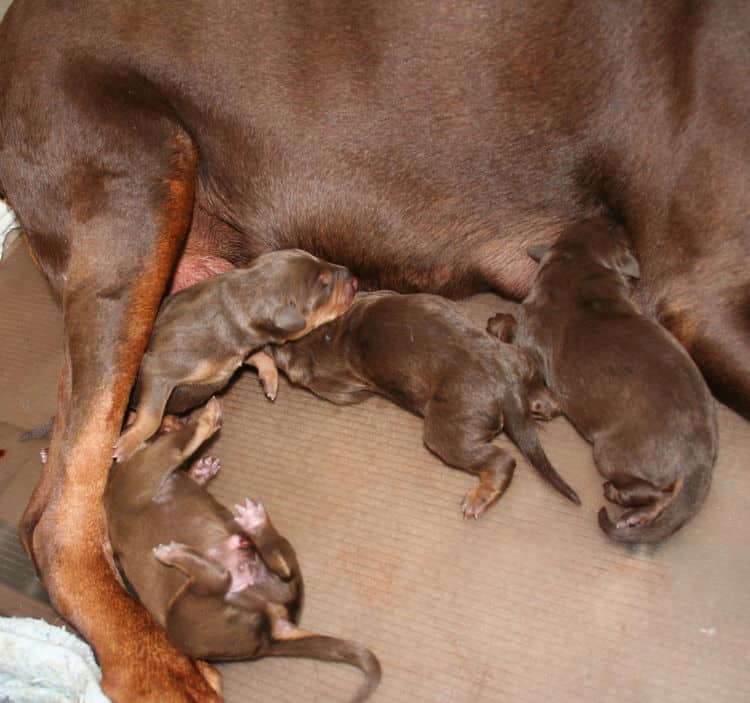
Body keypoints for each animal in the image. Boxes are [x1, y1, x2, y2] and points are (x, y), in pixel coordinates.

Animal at [104, 398, 382, 700]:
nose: (187, 414)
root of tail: (269, 639)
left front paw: (202, 469)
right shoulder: (145, 469)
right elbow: (175, 444)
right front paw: (203, 424)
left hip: (272, 579)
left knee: (281, 568)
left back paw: (255, 525)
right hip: (182, 618)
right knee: (220, 578)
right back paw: (180, 552)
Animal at [114, 250, 358, 464]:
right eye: (324, 283)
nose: (355, 279)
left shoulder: (238, 353)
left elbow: (261, 357)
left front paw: (270, 381)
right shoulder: (159, 366)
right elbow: (151, 416)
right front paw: (127, 444)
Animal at [253, 290, 580, 516]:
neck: (329, 333)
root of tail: (507, 386)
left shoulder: (340, 388)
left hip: (447, 426)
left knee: (502, 460)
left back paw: (478, 499)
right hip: (521, 362)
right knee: (545, 396)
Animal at [490, 217, 720, 548]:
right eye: (596, 223)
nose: (611, 215)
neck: (579, 265)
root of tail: (700, 463)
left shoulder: (529, 336)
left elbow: (513, 328)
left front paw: (498, 321)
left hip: (609, 453)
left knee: (658, 494)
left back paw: (618, 496)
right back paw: (635, 517)